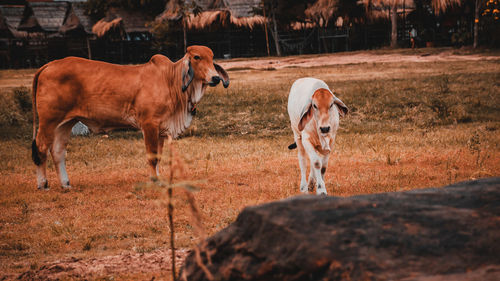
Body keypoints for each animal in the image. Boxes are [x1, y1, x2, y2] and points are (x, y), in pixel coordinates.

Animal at [29, 45, 229, 188]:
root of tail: (49, 65)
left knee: (58, 152)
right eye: (197, 57)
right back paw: (43, 184)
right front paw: (154, 181)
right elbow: (152, 156)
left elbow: (159, 156)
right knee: (40, 148)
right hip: (48, 121)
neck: (170, 81)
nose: (215, 78)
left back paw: (65, 184)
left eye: (212, 57)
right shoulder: (149, 124)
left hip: (66, 122)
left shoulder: (161, 129)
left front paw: (158, 177)